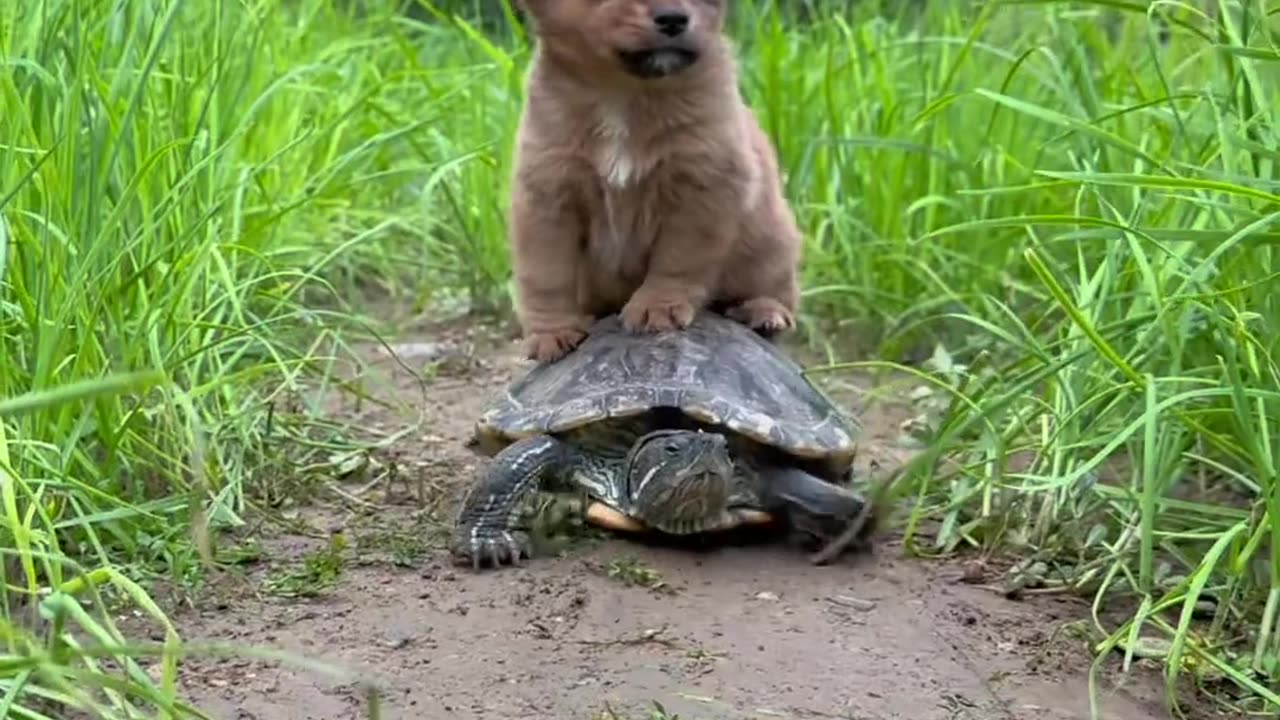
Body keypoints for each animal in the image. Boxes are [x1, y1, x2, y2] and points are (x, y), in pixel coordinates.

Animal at [506, 0, 798, 358]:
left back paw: (764, 312)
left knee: (776, 289)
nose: (674, 19)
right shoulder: (547, 195)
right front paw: (552, 332)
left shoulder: (703, 187)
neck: (623, 93)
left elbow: (676, 259)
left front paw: (657, 306)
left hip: (772, 243)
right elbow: (546, 275)